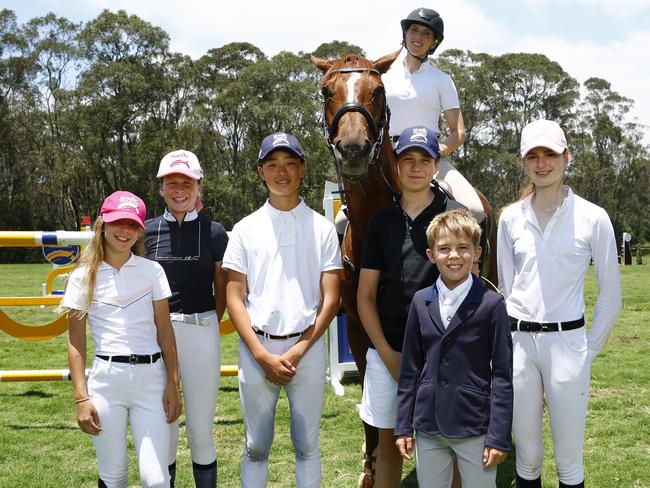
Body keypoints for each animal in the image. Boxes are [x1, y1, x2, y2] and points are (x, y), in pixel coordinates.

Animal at [310, 51, 496, 486]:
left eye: (377, 91)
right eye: (326, 90)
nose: (354, 149)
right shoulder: (359, 329)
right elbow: (371, 413)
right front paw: (371, 468)